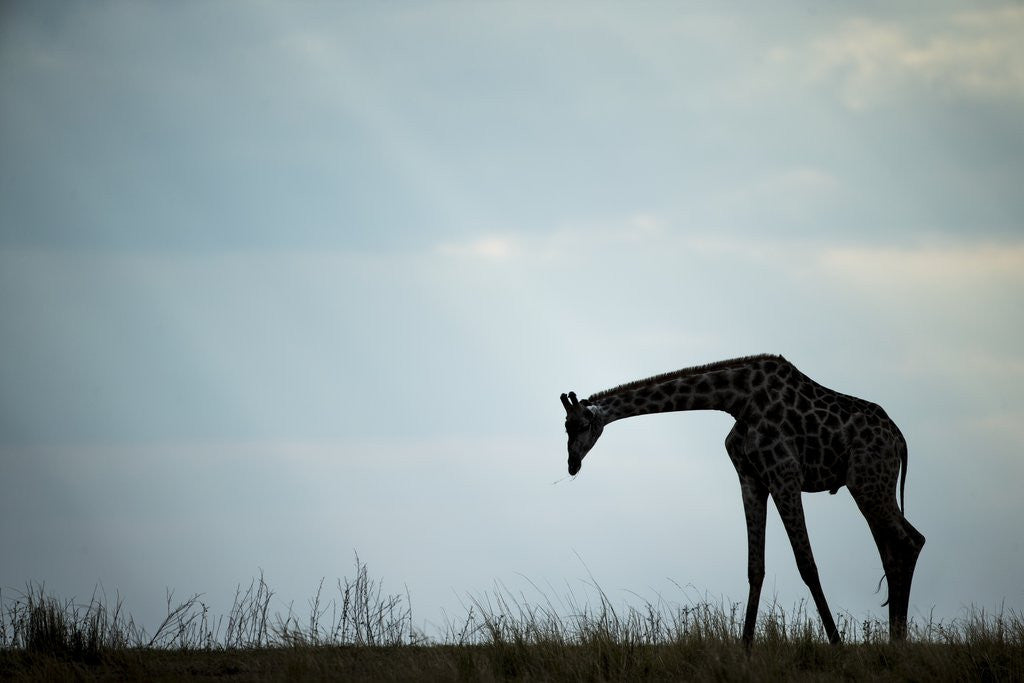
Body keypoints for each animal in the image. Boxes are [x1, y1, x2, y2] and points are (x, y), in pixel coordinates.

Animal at [559, 354, 925, 646]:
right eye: (565, 426)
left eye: (581, 424)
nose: (572, 464)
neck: (737, 400)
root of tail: (900, 439)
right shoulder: (751, 478)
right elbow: (755, 568)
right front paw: (745, 648)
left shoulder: (784, 474)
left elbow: (807, 564)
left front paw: (836, 644)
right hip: (869, 485)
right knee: (895, 548)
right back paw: (895, 640)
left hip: (868, 482)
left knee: (910, 541)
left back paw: (898, 643)